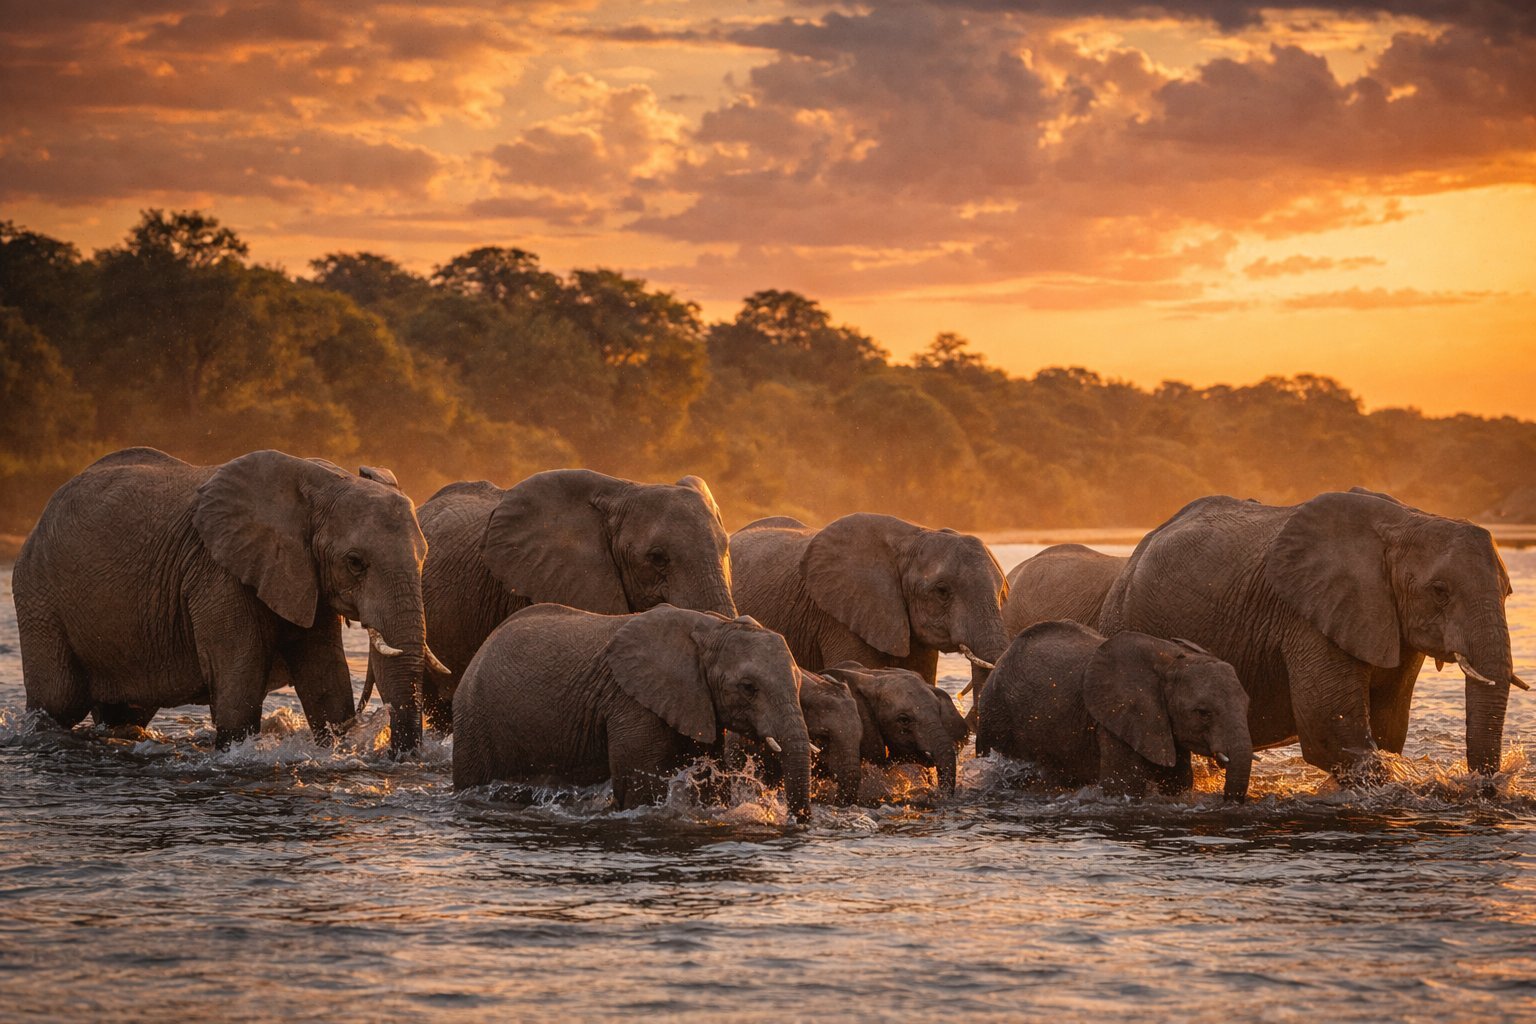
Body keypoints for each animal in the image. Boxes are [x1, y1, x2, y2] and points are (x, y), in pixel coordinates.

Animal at [15, 448, 436, 752]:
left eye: (425, 556)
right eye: (355, 562)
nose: (399, 758)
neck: (322, 483)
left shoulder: (303, 576)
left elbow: (325, 679)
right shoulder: (217, 574)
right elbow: (240, 681)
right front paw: (235, 752)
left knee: (123, 712)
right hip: (38, 597)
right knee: (58, 700)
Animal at [452, 604, 813, 821]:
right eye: (749, 687)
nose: (796, 823)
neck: (713, 628)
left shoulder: (695, 702)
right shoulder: (632, 702)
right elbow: (640, 787)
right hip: (474, 717)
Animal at [976, 621, 1253, 800]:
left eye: (1247, 704)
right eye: (1203, 712)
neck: (1171, 662)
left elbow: (1179, 780)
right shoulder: (1116, 721)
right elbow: (1125, 787)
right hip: (995, 714)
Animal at [1098, 489, 1526, 780]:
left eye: (1508, 592)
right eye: (1439, 591)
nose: (1484, 787)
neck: (1406, 523)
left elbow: (1388, 729)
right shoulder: (1309, 617)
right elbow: (1332, 734)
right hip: (1125, 618)